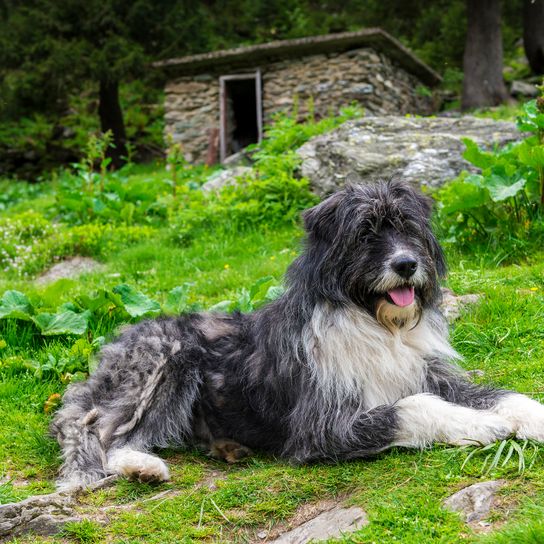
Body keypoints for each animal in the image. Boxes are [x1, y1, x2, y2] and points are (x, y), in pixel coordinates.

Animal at [52, 181, 544, 490]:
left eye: (407, 227)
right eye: (365, 233)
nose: (406, 264)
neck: (374, 321)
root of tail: (113, 347)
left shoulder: (430, 374)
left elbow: (507, 397)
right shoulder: (323, 426)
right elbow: (416, 407)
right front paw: (481, 425)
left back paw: (226, 447)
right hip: (168, 359)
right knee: (104, 431)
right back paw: (142, 465)